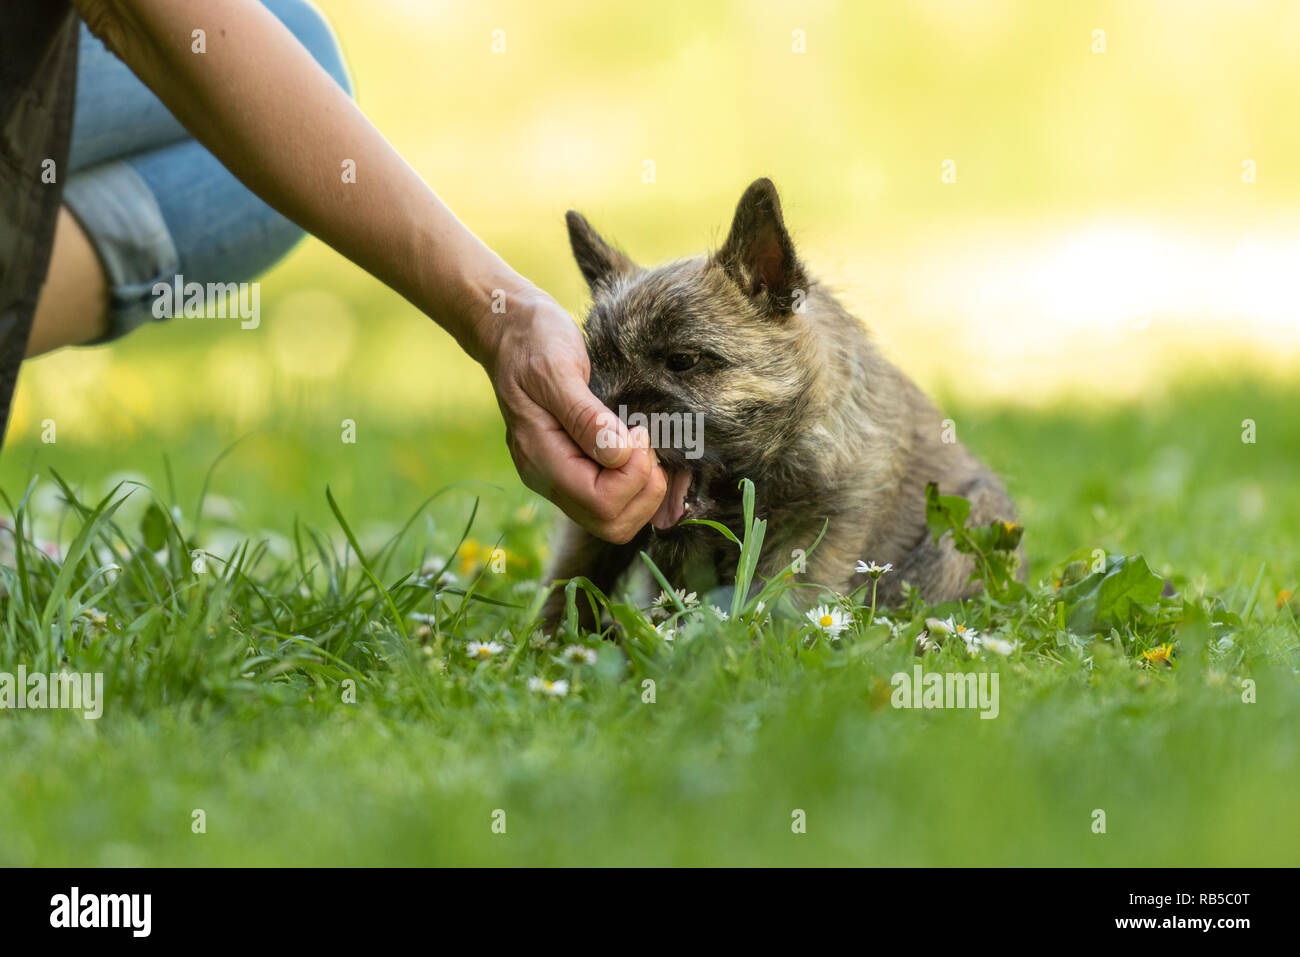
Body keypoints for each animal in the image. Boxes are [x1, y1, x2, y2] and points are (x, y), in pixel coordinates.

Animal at [543, 179, 1019, 629]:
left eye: (683, 361)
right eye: (594, 370)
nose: (603, 420)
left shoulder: (817, 527)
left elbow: (786, 597)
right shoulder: (592, 534)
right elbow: (573, 576)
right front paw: (549, 637)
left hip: (967, 529)